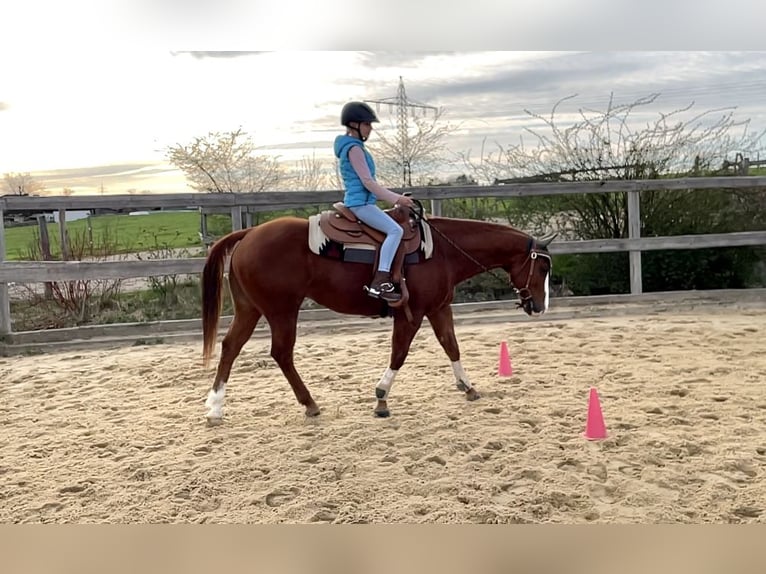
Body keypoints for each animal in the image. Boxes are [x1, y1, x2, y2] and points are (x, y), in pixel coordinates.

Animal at [201, 206, 556, 424]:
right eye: (543, 267)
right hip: (282, 310)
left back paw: (215, 407)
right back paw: (310, 404)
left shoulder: (439, 309)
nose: (539, 307)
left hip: (251, 309)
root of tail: (248, 234)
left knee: (231, 347)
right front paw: (381, 399)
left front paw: (468, 387)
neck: (442, 251)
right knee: (281, 353)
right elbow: (399, 353)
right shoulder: (411, 315)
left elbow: (451, 345)